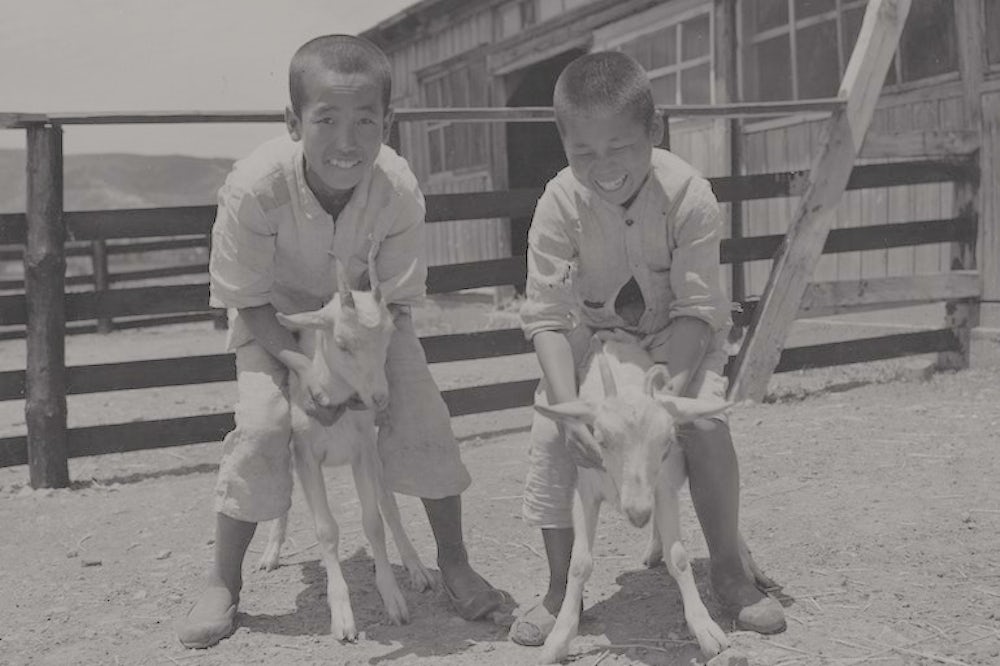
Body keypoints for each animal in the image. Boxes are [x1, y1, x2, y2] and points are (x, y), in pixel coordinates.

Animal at [256, 258, 432, 640]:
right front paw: (342, 616)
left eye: (389, 335)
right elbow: (326, 529)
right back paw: (270, 554)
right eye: (342, 343)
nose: (380, 398)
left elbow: (375, 521)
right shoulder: (306, 456)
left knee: (390, 505)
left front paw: (394, 600)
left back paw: (416, 568)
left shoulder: (363, 451)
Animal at [532, 330, 736, 660]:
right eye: (600, 439)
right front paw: (559, 638)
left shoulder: (662, 487)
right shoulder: (586, 491)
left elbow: (679, 558)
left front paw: (704, 628)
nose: (638, 513)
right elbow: (579, 563)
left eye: (667, 440)